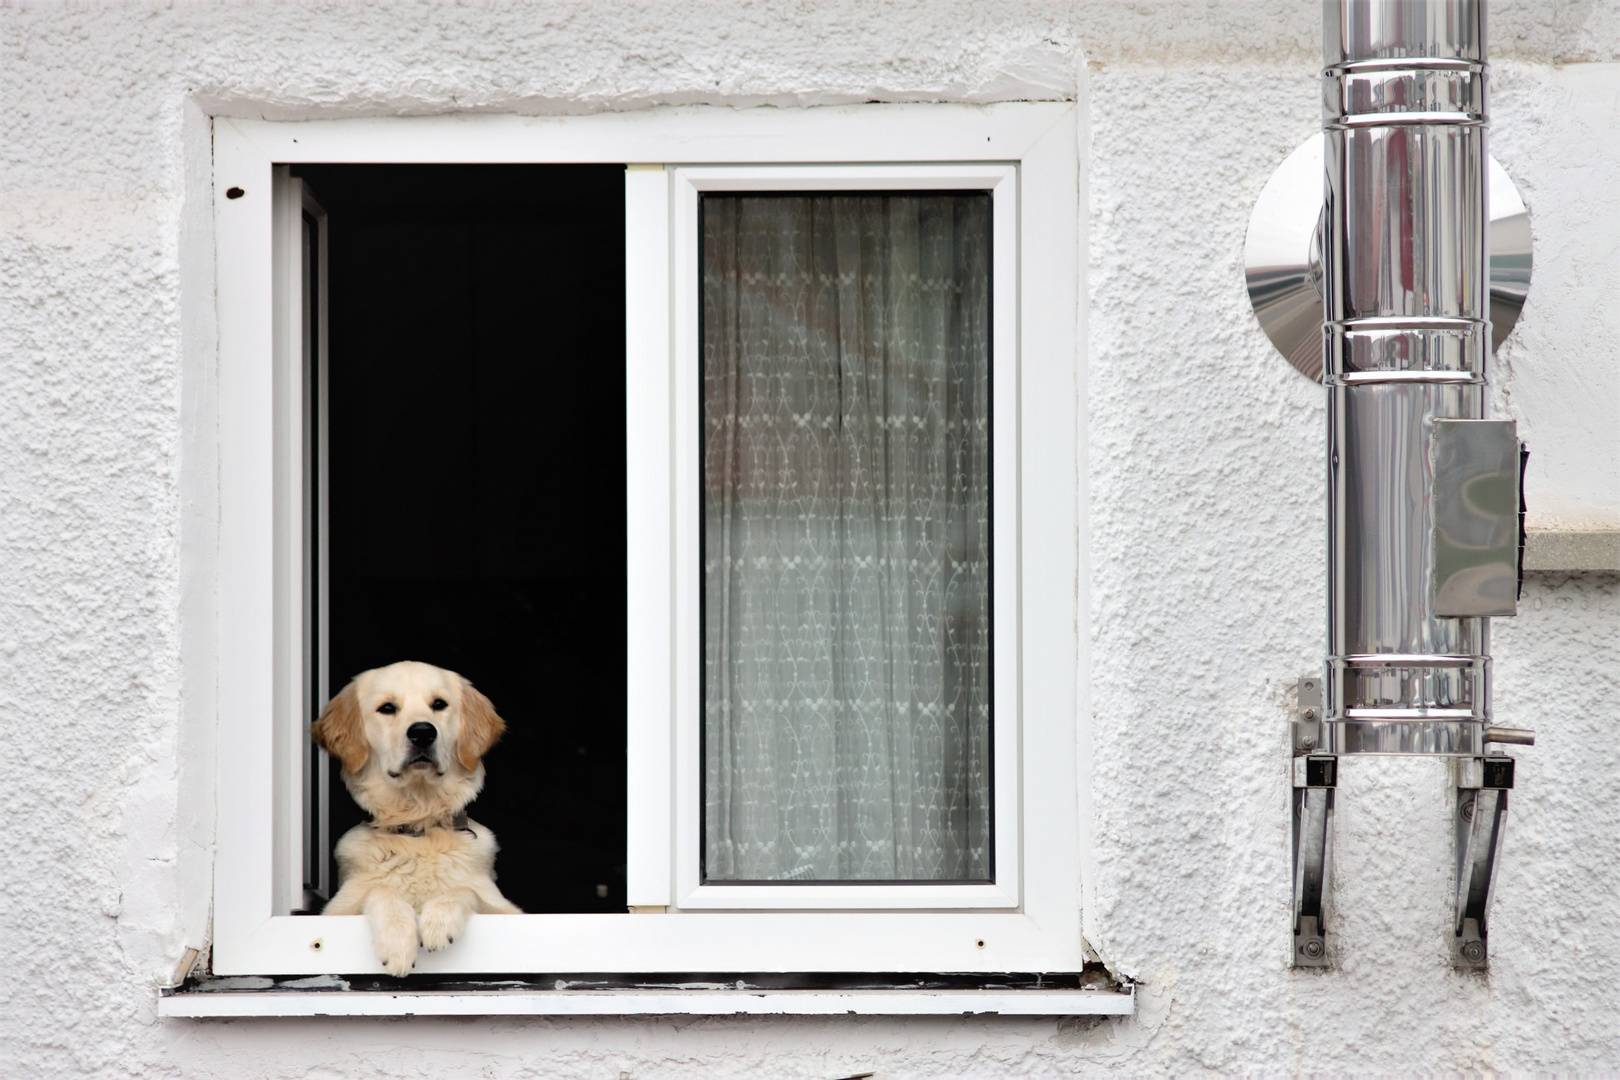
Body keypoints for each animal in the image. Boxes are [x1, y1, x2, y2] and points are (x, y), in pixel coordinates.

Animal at [309, 660, 518, 977]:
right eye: (387, 708)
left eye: (439, 704)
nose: (422, 732)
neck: (418, 824)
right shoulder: (336, 911)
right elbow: (381, 888)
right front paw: (397, 942)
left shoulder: (506, 909)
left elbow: (465, 889)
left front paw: (439, 920)